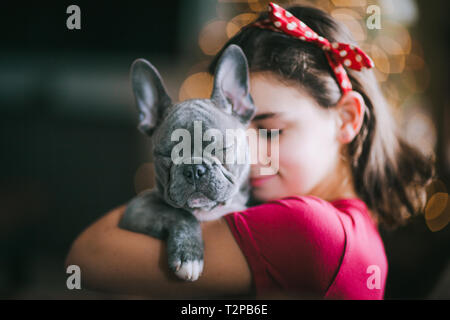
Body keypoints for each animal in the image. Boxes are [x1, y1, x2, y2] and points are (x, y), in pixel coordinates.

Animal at [118, 44, 255, 280]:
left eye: (221, 148)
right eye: (166, 155)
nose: (194, 169)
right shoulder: (137, 209)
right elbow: (180, 213)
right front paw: (188, 255)